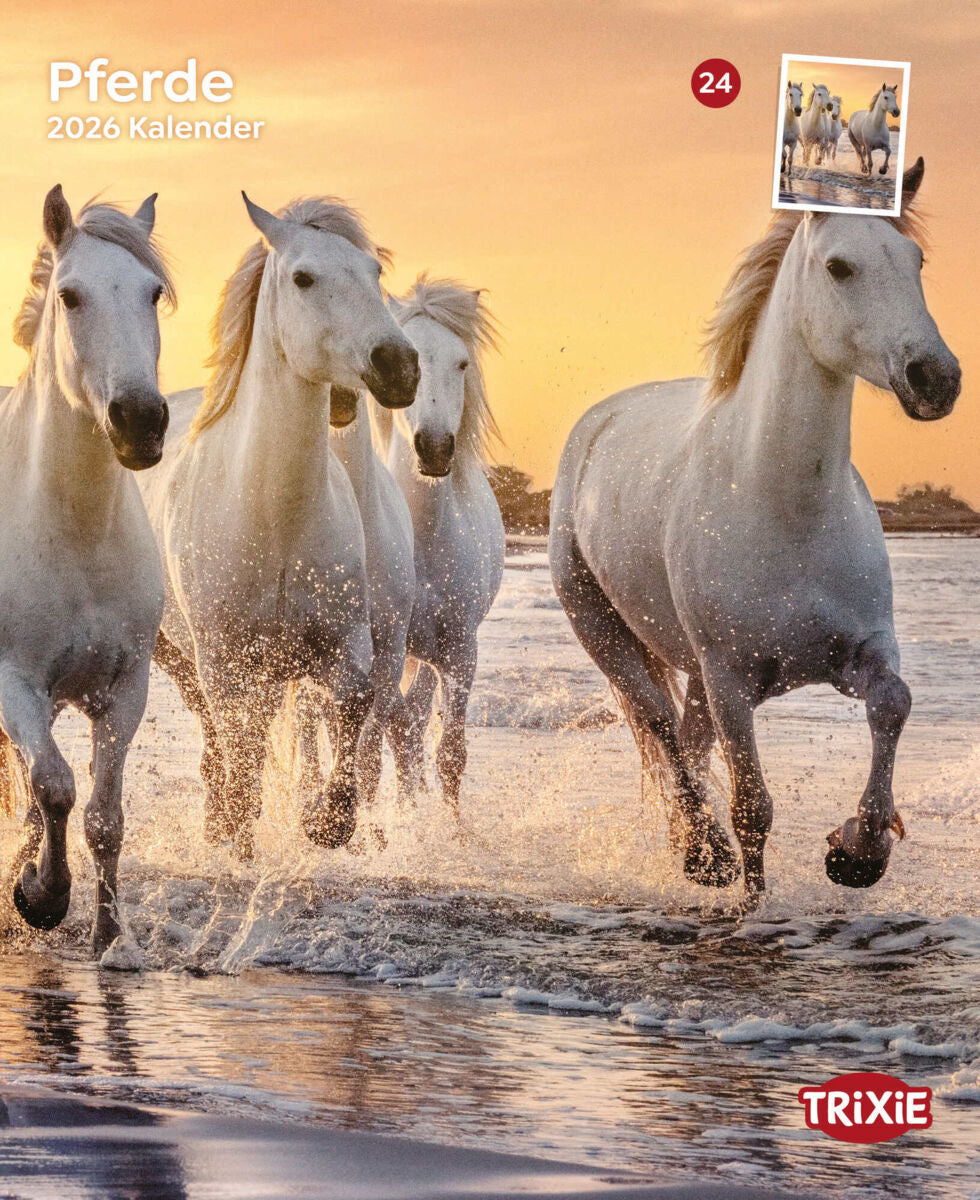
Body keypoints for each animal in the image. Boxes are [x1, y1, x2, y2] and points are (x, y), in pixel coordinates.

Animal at [549, 159, 960, 903]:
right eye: (839, 266)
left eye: (915, 259)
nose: (936, 378)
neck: (785, 508)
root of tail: (597, 423)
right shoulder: (732, 680)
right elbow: (752, 808)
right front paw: (752, 900)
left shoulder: (861, 652)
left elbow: (894, 704)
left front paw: (858, 850)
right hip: (606, 633)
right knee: (661, 727)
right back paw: (702, 854)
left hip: (696, 674)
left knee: (686, 741)